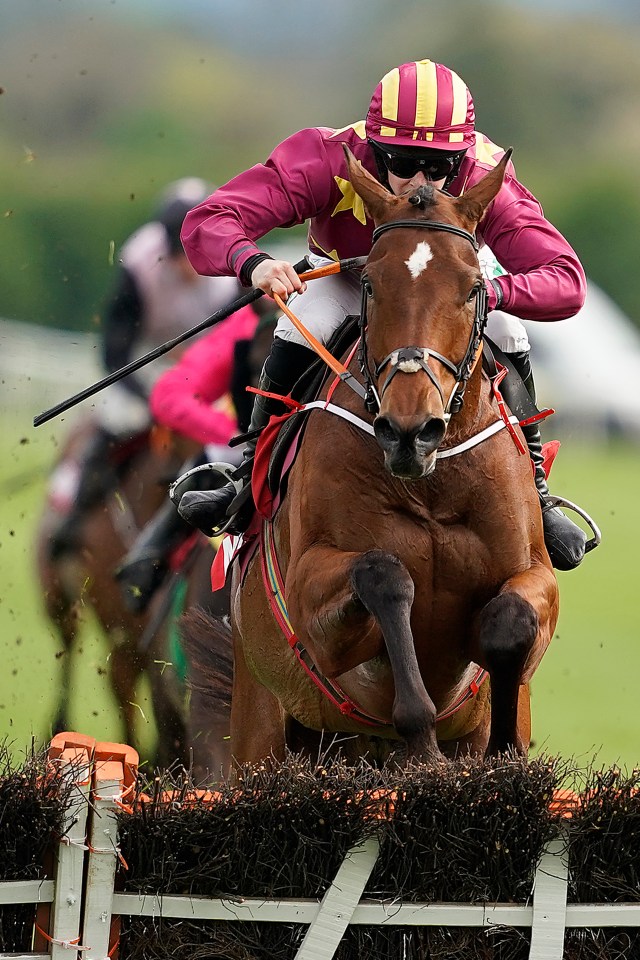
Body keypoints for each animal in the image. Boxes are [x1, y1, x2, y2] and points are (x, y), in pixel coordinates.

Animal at [228, 148, 556, 764]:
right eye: (371, 284)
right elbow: (385, 573)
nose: (410, 432)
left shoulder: (535, 573)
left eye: (473, 287)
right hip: (259, 724)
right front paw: (422, 739)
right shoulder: (311, 594)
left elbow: (511, 620)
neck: (431, 484)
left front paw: (503, 753)